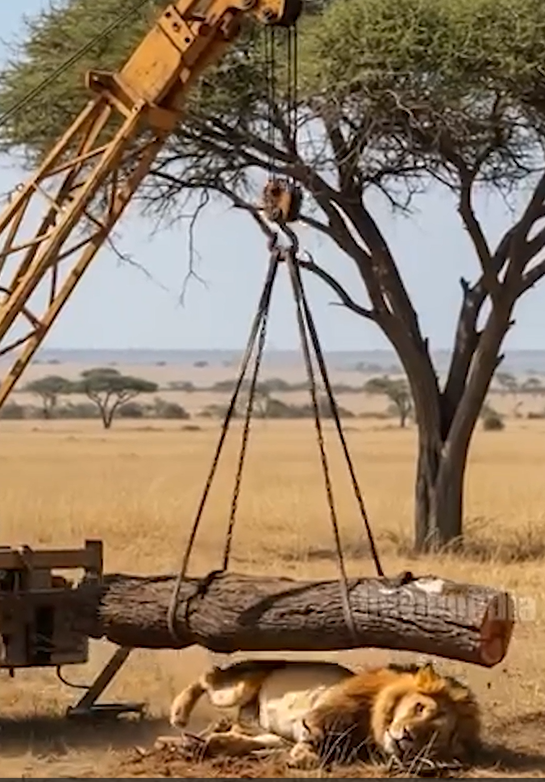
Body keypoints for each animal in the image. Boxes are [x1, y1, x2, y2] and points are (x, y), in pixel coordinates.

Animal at [167, 658, 481, 770]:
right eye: (419, 707)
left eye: (432, 737)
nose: (405, 736)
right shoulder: (329, 710)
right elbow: (318, 729)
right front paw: (306, 753)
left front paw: (301, 757)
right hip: (236, 688)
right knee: (209, 676)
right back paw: (179, 713)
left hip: (268, 734)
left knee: (239, 738)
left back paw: (204, 742)